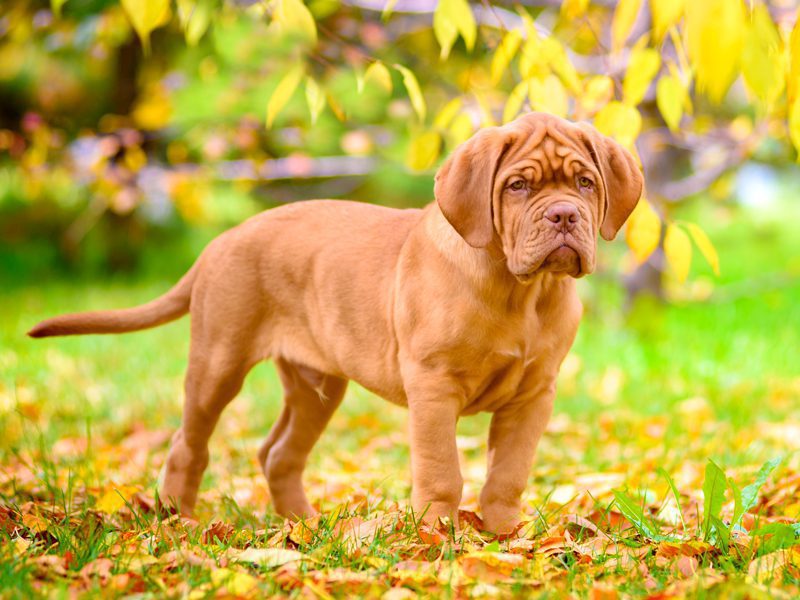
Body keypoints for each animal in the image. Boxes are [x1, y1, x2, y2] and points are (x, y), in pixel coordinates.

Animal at [29, 112, 644, 536]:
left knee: (279, 454)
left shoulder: (533, 395)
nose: (563, 215)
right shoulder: (433, 387)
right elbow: (442, 470)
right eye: (518, 187)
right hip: (218, 362)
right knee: (189, 442)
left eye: (585, 183)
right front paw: (436, 539)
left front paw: (503, 537)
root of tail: (222, 241)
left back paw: (305, 526)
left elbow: (508, 473)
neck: (521, 292)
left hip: (317, 385)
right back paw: (179, 518)